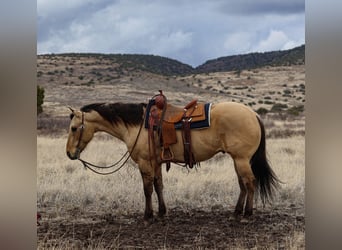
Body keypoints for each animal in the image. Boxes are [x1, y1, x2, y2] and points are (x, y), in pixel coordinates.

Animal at [65, 93, 280, 222]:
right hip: (237, 159)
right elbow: (159, 186)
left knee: (250, 182)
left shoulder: (145, 163)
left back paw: (247, 213)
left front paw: (148, 215)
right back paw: (236, 211)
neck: (137, 124)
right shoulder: (156, 163)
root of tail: (253, 114)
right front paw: (162, 212)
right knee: (243, 184)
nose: (69, 153)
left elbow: (147, 189)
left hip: (241, 159)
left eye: (74, 128)